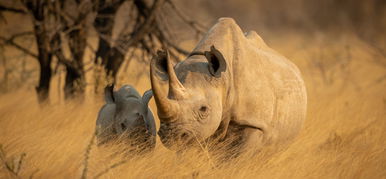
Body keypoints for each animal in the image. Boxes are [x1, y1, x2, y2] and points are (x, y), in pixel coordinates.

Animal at [149, 17, 306, 155]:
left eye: (203, 109)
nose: (171, 137)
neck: (223, 78)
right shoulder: (197, 130)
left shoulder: (253, 123)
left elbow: (238, 160)